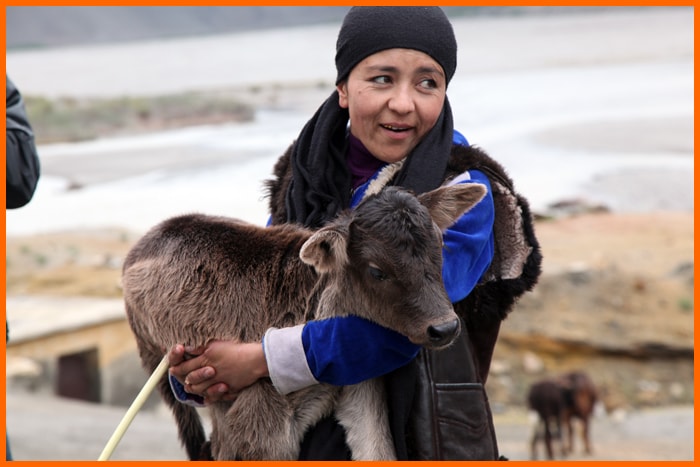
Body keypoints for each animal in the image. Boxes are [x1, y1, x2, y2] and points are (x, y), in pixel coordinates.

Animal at [123, 183, 486, 460]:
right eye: (376, 270)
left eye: (441, 245)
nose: (444, 327)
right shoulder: (258, 414)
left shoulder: (362, 387)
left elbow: (377, 449)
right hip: (157, 357)